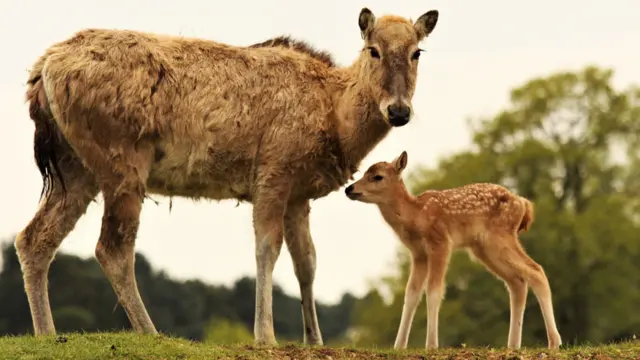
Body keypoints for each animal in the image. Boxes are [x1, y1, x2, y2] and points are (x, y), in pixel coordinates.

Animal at [18, 8, 440, 346]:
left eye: (417, 52)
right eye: (373, 49)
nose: (399, 111)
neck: (336, 120)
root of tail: (41, 72)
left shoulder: (299, 194)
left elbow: (307, 262)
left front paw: (315, 340)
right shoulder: (273, 171)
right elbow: (267, 249)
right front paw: (265, 335)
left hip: (76, 165)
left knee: (34, 238)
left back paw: (47, 334)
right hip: (121, 159)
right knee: (112, 248)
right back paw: (151, 333)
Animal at [344, 151, 560, 348]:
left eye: (377, 176)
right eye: (364, 172)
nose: (349, 188)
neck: (416, 215)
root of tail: (524, 204)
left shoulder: (441, 243)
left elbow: (434, 291)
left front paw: (431, 345)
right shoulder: (418, 253)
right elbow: (411, 294)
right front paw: (398, 347)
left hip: (499, 238)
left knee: (535, 271)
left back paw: (553, 343)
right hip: (484, 248)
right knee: (517, 281)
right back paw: (513, 346)